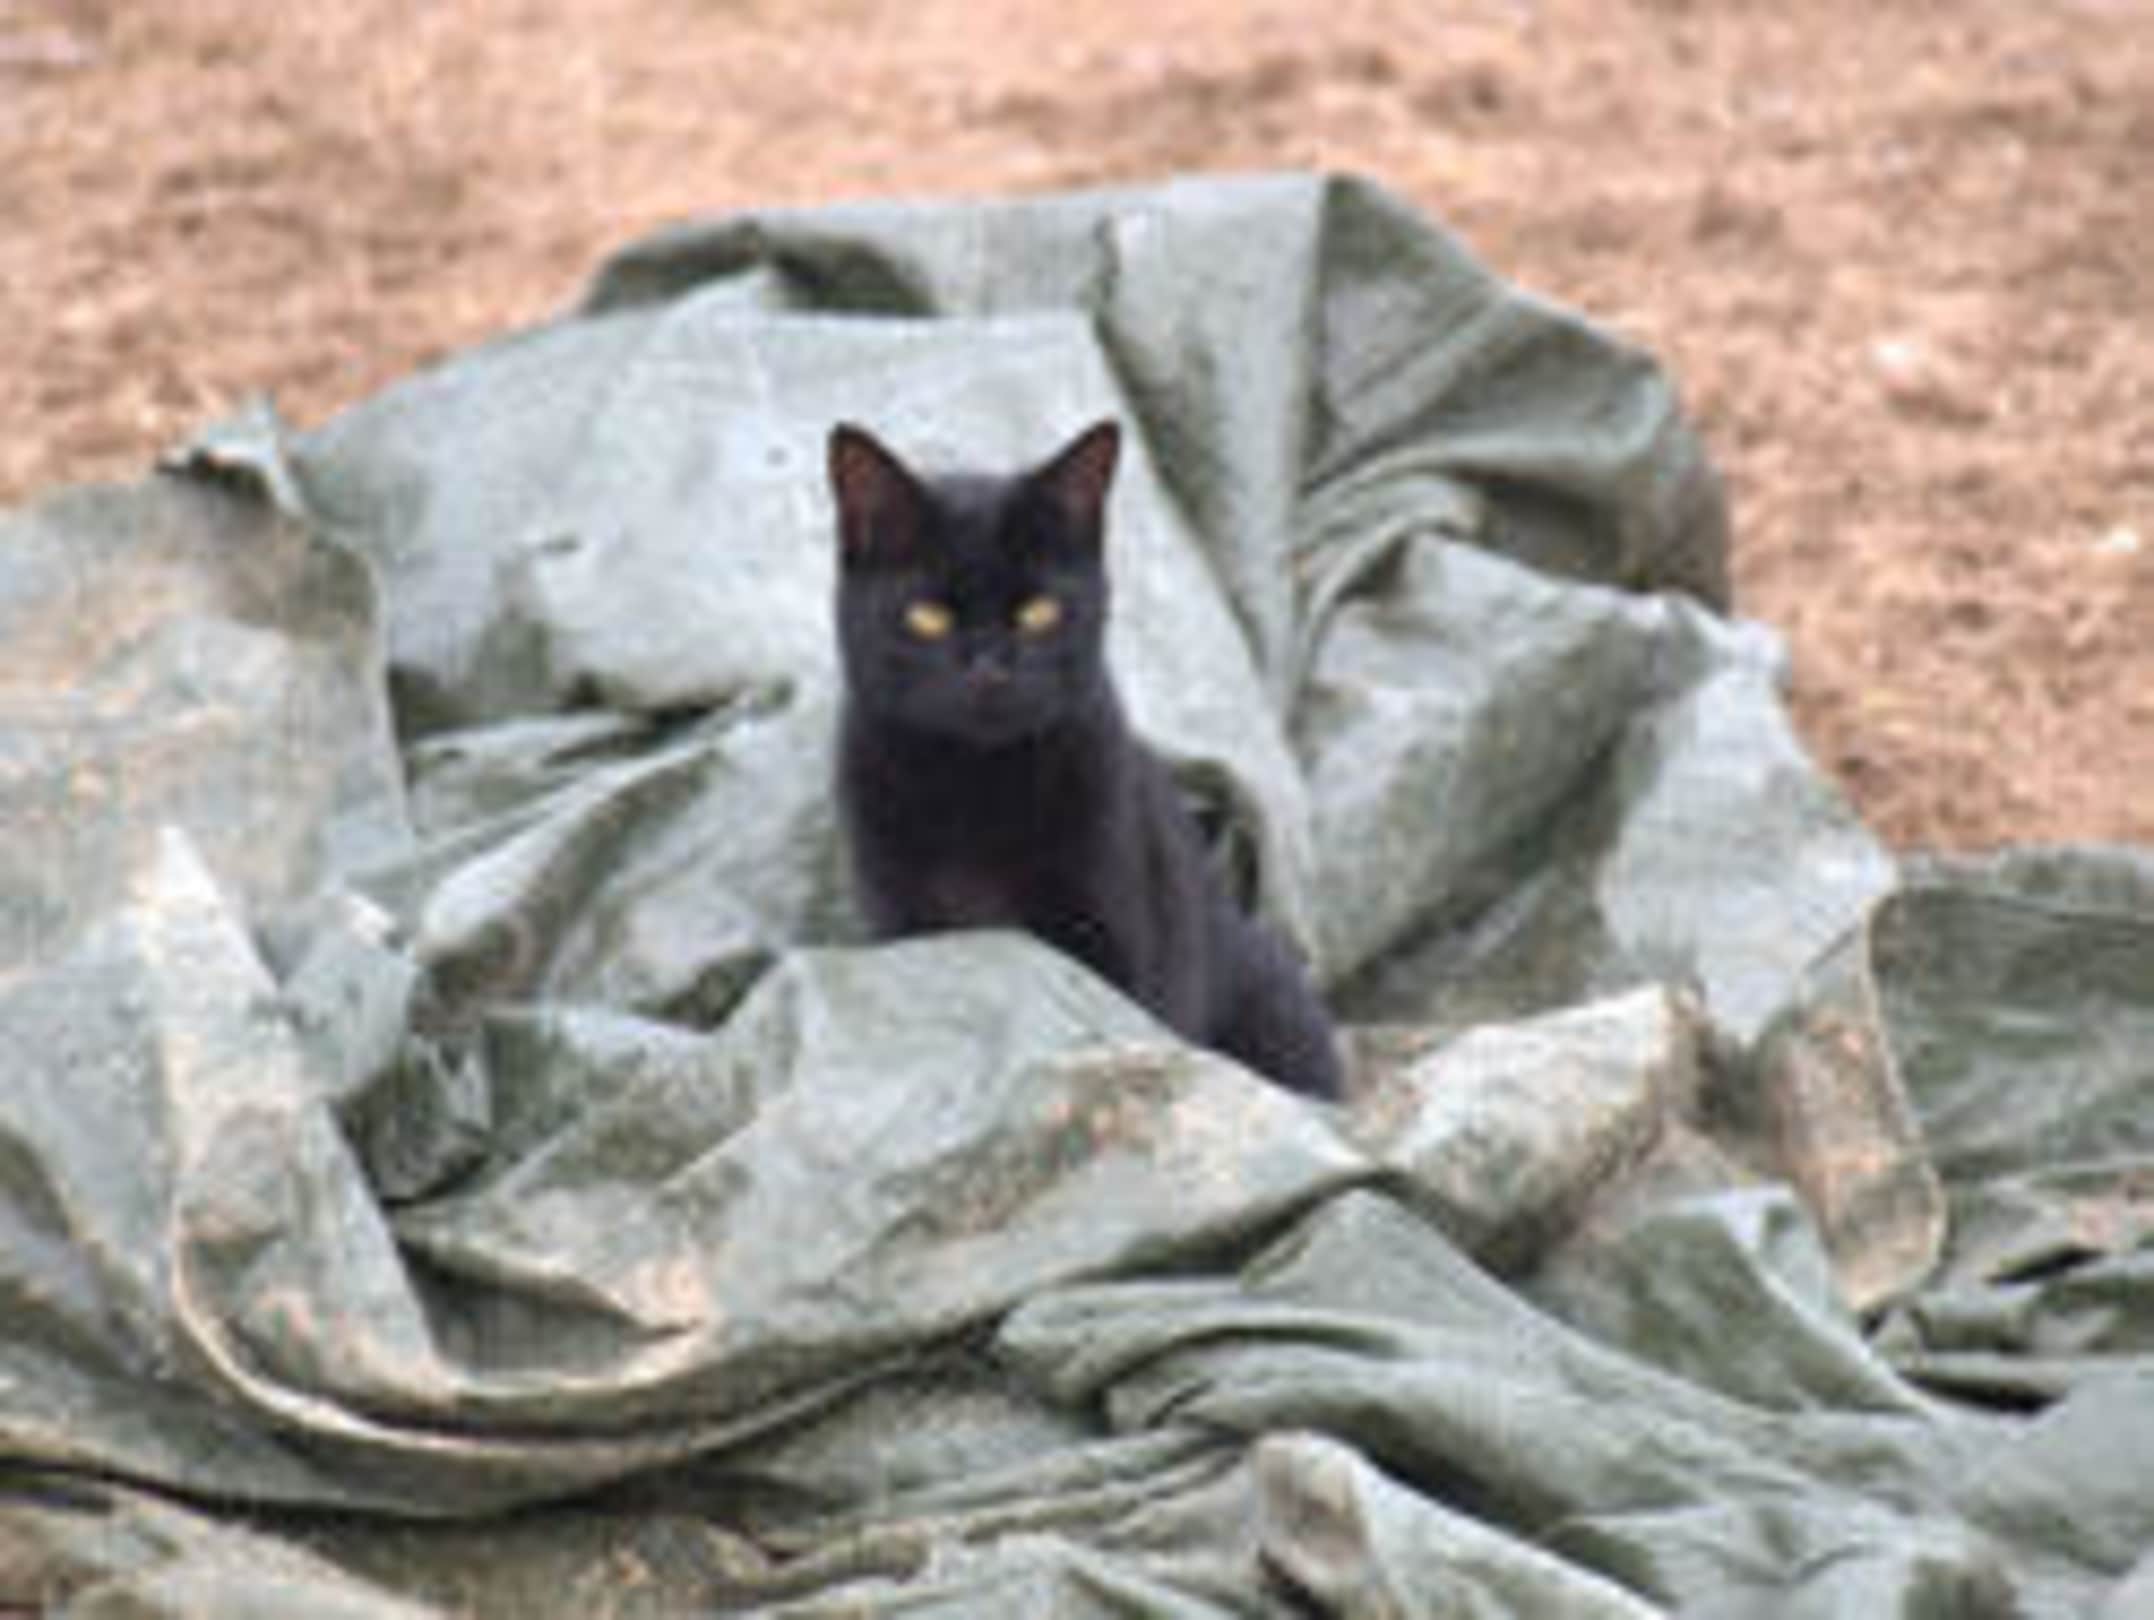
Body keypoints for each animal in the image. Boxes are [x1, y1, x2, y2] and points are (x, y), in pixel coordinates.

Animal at [826, 418, 1343, 1100]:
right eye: (927, 617)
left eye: (1039, 612)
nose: (991, 667)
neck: (976, 787)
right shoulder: (907, 923)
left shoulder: (1108, 933)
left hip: (1273, 997)